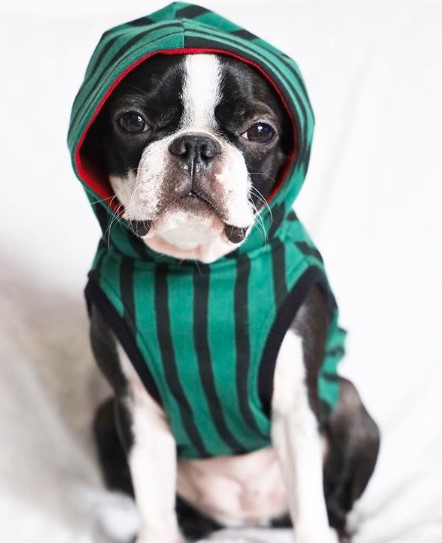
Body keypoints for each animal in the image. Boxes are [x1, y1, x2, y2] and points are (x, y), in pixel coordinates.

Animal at [86, 53, 380, 540]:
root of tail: (250, 520)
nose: (194, 146)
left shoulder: (294, 405)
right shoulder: (136, 410)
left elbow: (309, 504)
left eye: (260, 130)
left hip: (350, 405)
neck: (197, 266)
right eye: (132, 121)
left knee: (330, 499)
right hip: (105, 420)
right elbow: (152, 502)